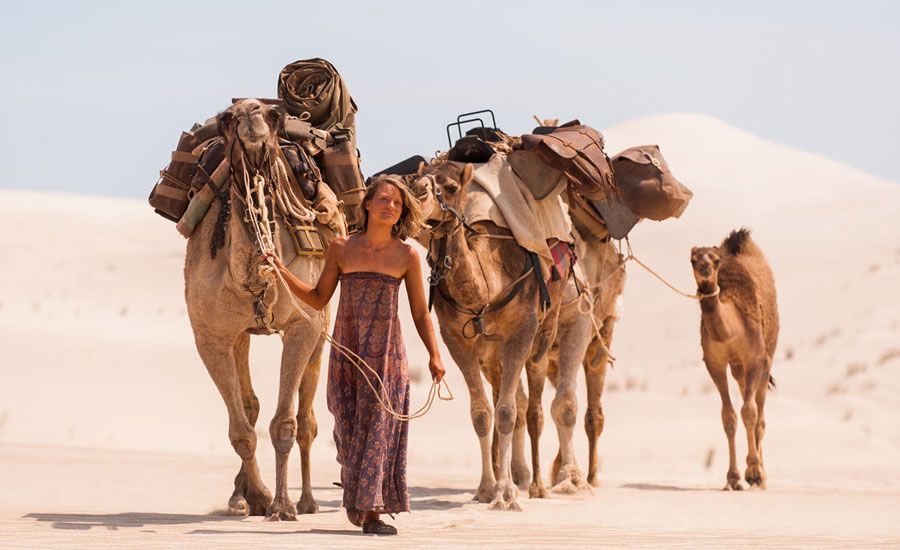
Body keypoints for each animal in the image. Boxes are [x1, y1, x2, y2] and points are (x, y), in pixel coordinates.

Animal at [184, 100, 344, 520]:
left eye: (273, 119)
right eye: (228, 120)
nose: (251, 114)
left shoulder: (303, 326)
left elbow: (285, 424)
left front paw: (283, 505)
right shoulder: (211, 336)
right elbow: (241, 428)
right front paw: (255, 496)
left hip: (322, 323)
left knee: (307, 418)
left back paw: (308, 501)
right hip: (242, 334)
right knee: (250, 405)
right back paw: (240, 496)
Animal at [410, 158, 568, 508]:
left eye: (450, 187)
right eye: (414, 181)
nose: (417, 195)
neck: (486, 288)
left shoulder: (522, 331)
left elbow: (507, 412)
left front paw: (506, 494)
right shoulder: (456, 339)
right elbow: (482, 413)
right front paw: (485, 489)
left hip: (545, 329)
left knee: (533, 407)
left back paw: (537, 486)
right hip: (491, 352)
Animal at [692, 229, 776, 492]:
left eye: (715, 259)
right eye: (693, 259)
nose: (705, 267)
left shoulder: (755, 359)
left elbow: (749, 412)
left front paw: (754, 473)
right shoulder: (714, 363)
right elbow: (728, 416)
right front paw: (733, 478)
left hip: (767, 356)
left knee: (760, 414)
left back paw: (762, 476)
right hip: (738, 368)